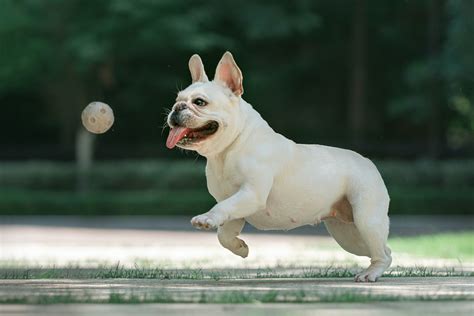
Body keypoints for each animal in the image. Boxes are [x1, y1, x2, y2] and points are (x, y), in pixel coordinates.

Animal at [167, 52, 392, 284]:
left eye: (199, 102)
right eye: (177, 100)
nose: (176, 108)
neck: (230, 149)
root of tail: (368, 161)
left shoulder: (251, 194)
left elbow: (220, 209)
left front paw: (206, 219)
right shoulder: (235, 204)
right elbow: (224, 233)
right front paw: (240, 248)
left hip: (366, 220)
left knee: (382, 252)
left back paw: (370, 274)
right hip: (348, 234)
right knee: (384, 250)